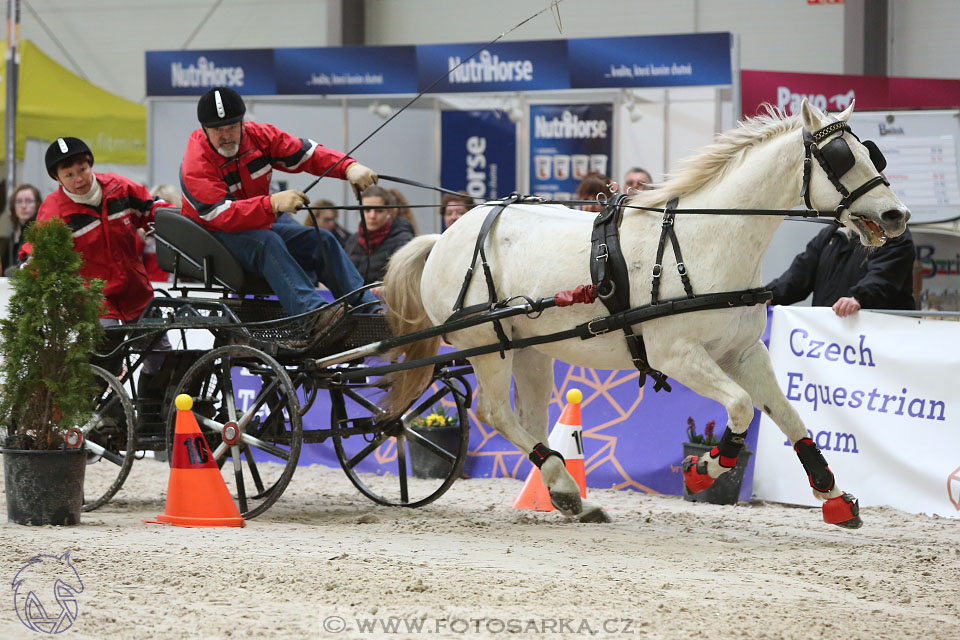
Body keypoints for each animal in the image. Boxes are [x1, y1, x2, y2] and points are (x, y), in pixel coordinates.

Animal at [380, 100, 908, 524]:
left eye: (872, 153)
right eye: (840, 158)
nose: (897, 215)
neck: (706, 239)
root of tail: (444, 236)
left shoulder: (744, 353)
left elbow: (790, 416)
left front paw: (834, 498)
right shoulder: (676, 354)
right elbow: (740, 406)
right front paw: (703, 470)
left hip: (531, 348)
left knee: (528, 415)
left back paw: (566, 494)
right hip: (488, 346)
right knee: (493, 411)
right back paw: (565, 485)